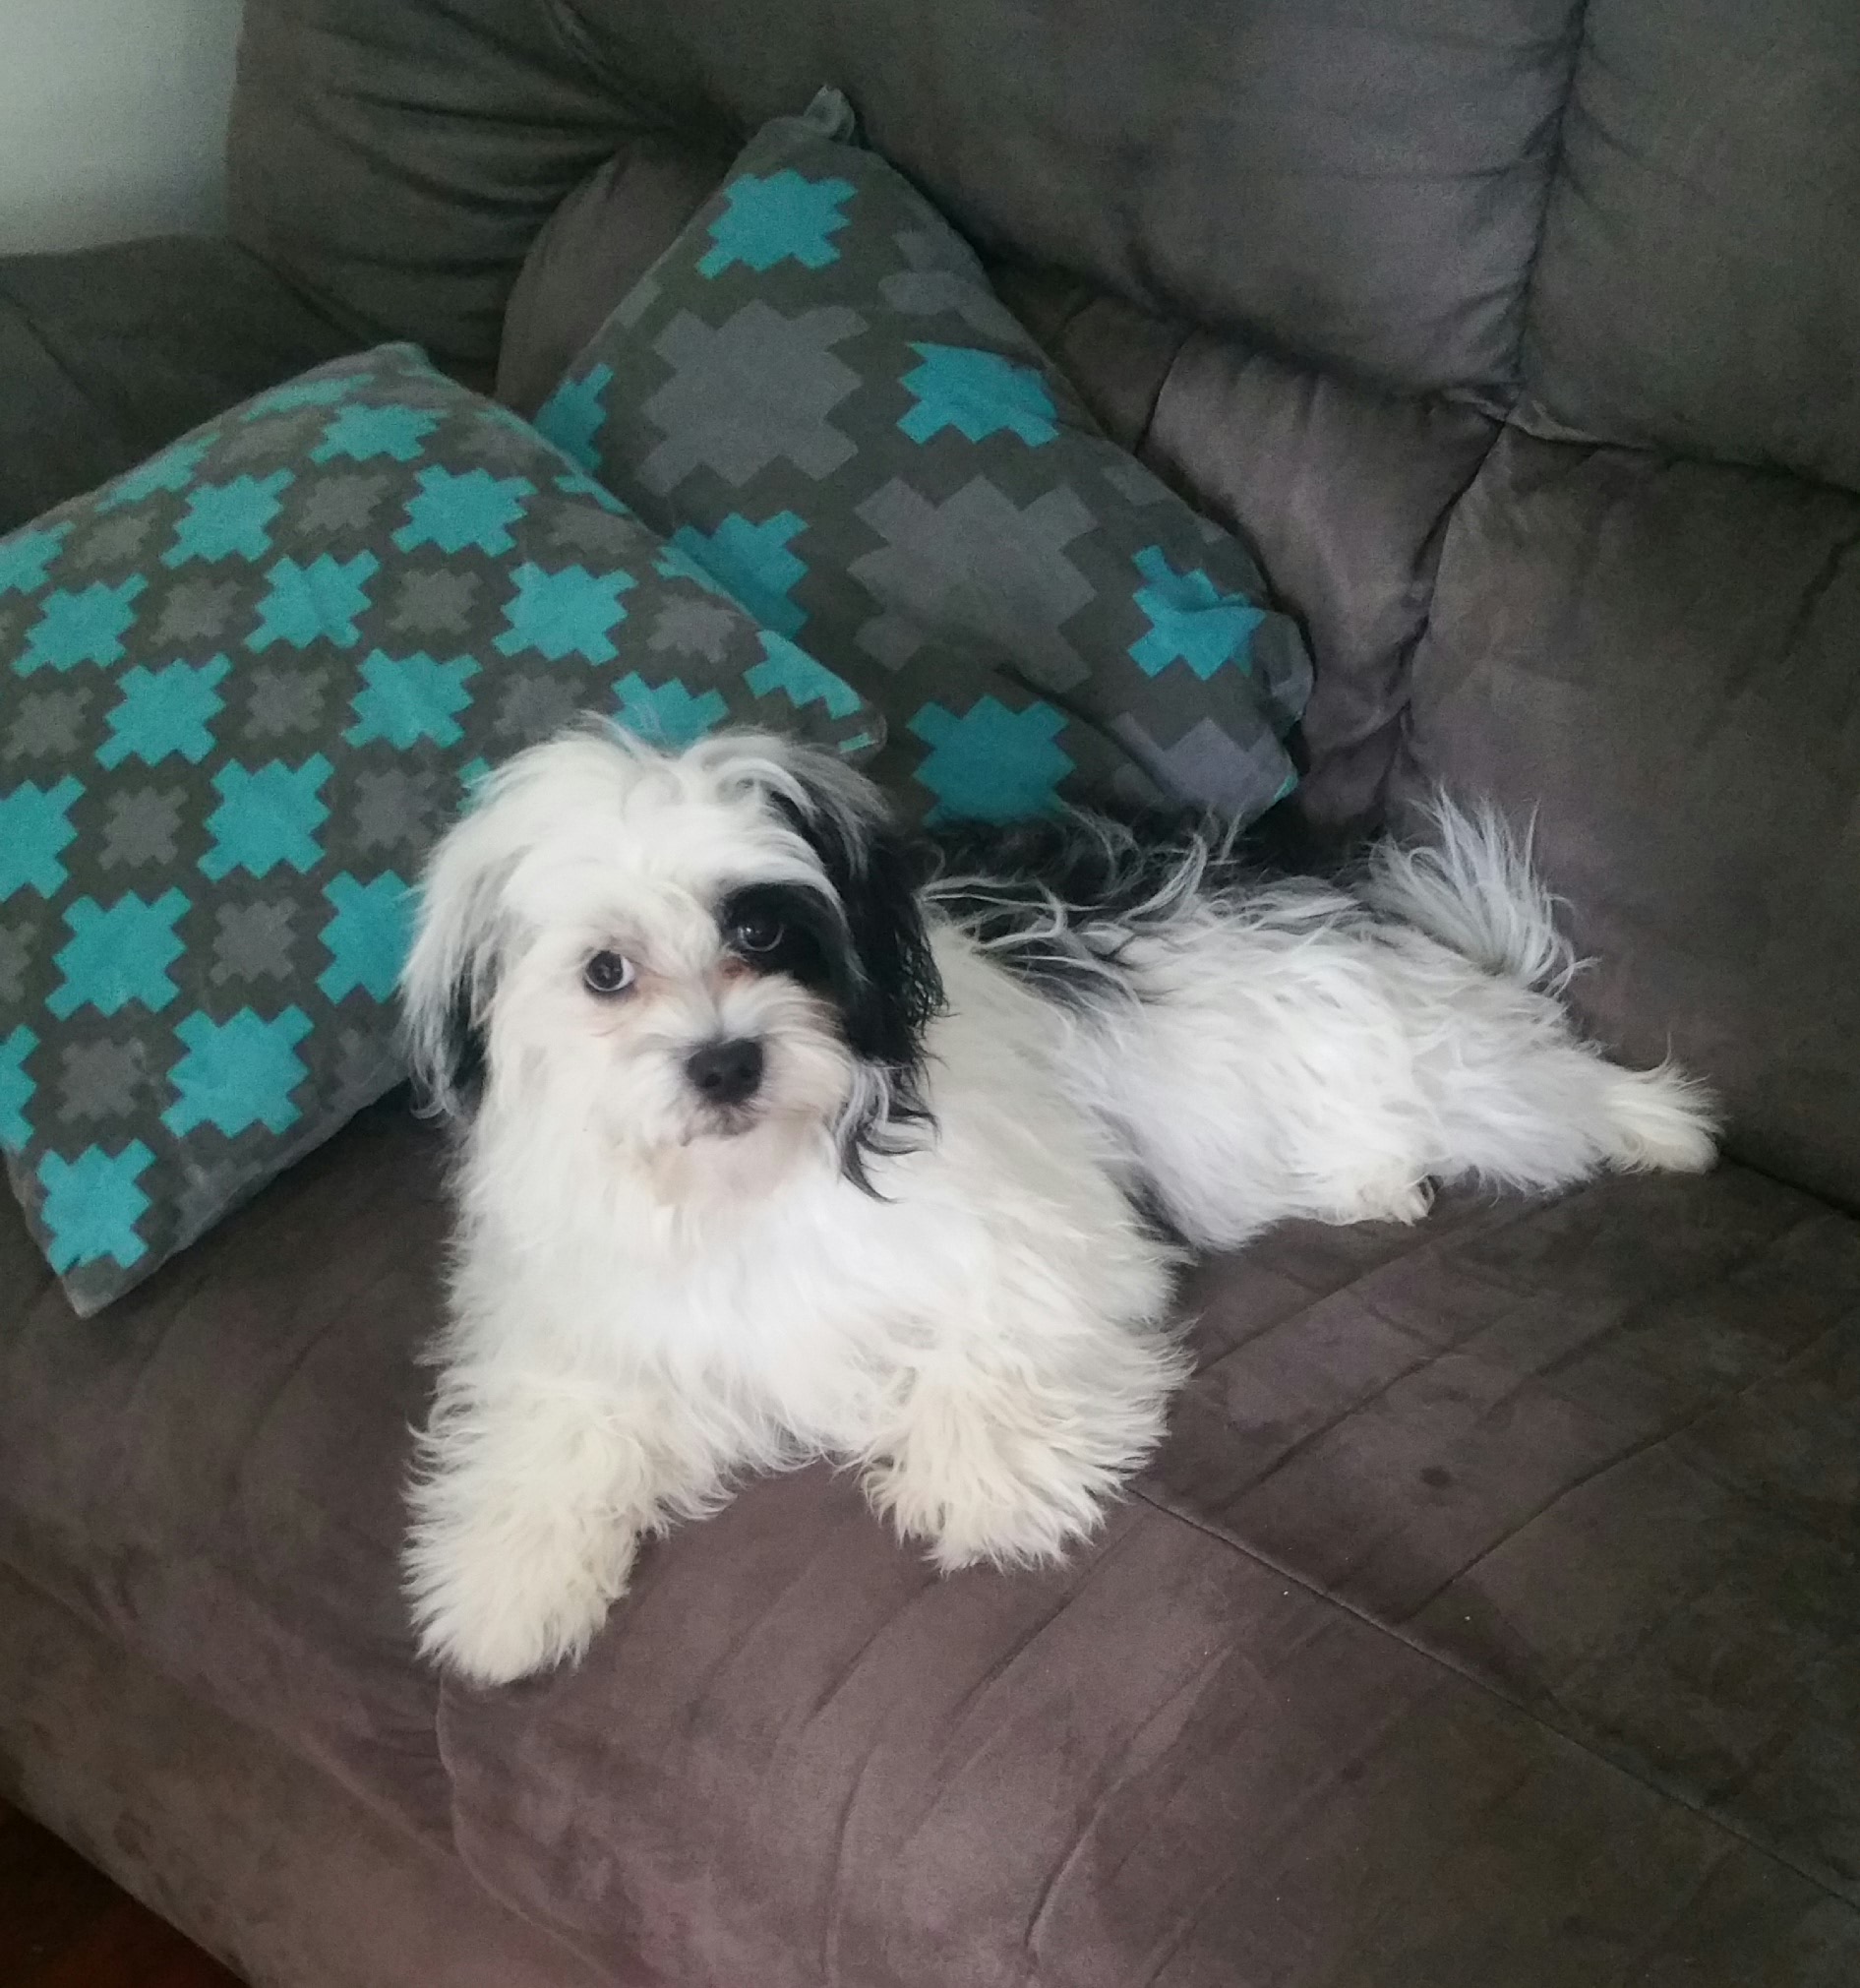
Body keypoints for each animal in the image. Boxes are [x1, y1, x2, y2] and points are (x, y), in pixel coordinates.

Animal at [399, 723, 1717, 1685]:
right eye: (604, 971)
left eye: (763, 928)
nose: (724, 1060)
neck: (756, 1175)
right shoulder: (587, 1319)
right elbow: (557, 1424)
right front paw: (502, 1587)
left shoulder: (1044, 1235)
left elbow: (998, 1336)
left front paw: (989, 1485)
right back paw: (1379, 1181)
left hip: (1410, 1045)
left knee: (1527, 1080)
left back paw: (1658, 1122)